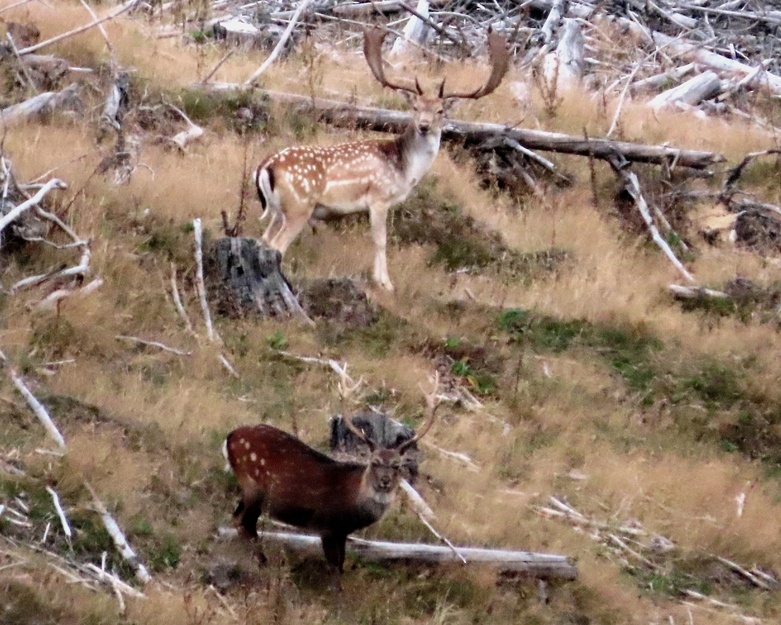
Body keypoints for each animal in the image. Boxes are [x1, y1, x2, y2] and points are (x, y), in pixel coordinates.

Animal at [222, 370, 438, 580]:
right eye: (374, 461)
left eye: (397, 466)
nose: (384, 481)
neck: (353, 502)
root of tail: (229, 437)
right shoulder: (327, 524)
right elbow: (335, 571)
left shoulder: (342, 532)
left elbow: (340, 567)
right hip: (253, 485)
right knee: (242, 521)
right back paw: (262, 563)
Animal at [254, 28, 512, 292]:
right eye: (416, 107)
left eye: (440, 111)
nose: (424, 126)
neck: (404, 169)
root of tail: (266, 167)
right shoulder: (379, 197)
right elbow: (380, 240)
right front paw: (385, 283)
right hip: (299, 207)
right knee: (277, 245)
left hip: (278, 210)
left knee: (264, 240)